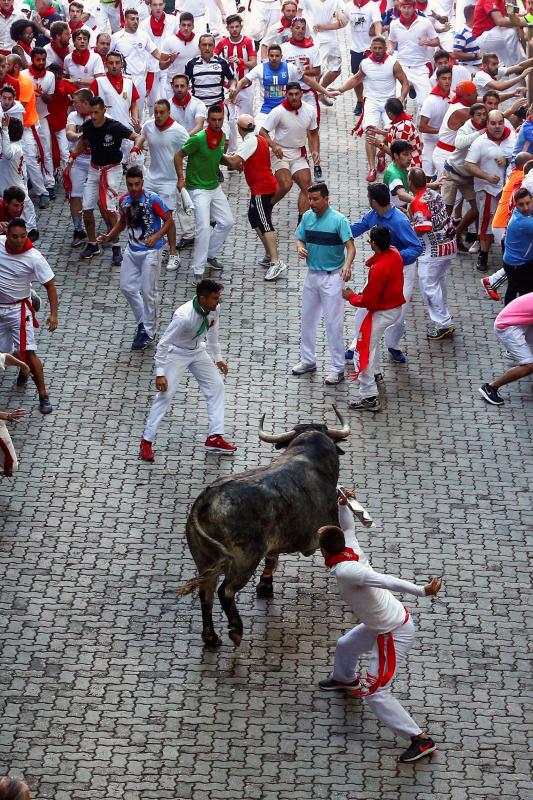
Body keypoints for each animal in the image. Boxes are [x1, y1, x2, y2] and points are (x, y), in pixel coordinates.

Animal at [177, 410, 350, 648]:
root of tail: (208, 497)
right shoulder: (334, 524)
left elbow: (272, 559)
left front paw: (265, 585)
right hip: (244, 559)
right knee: (225, 590)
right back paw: (236, 630)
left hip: (204, 558)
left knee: (207, 592)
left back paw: (211, 637)